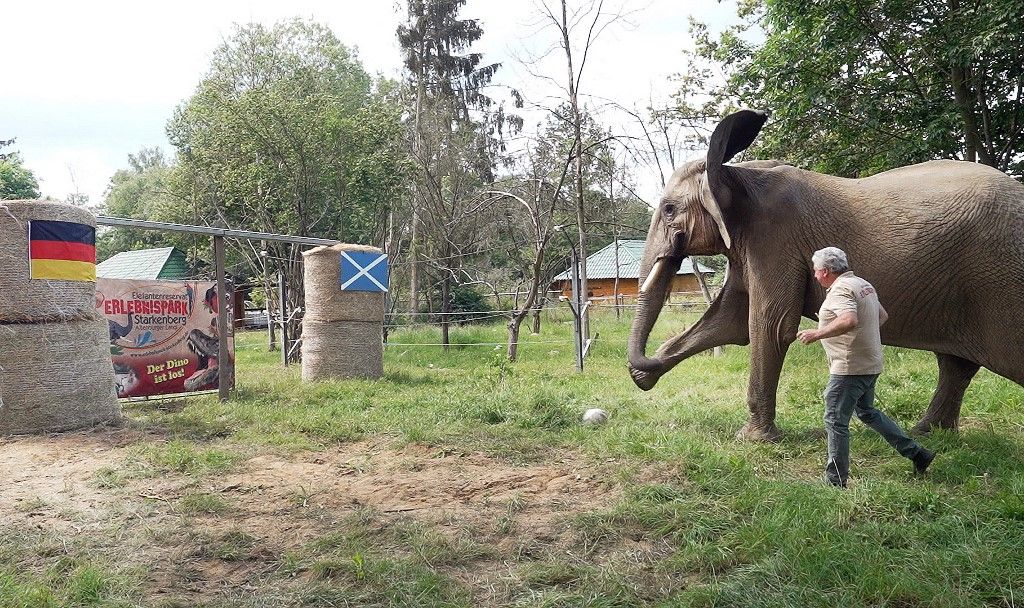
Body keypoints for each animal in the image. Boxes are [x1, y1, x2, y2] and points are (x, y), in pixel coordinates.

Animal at [626, 109, 1024, 438]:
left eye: (669, 209)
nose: (645, 364)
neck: (737, 171)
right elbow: (732, 321)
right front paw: (648, 371)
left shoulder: (774, 239)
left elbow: (769, 325)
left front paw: (752, 440)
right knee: (956, 365)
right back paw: (928, 433)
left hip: (1002, 280)